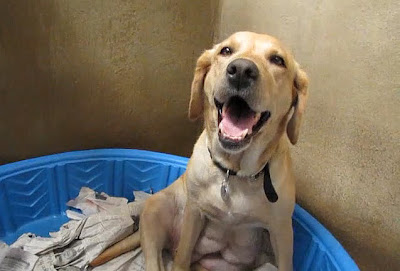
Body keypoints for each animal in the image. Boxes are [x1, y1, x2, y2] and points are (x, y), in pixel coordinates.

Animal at [91, 32, 310, 271]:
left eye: (278, 60)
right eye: (226, 50)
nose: (241, 70)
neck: (233, 172)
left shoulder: (282, 231)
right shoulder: (195, 212)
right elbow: (182, 258)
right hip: (154, 210)